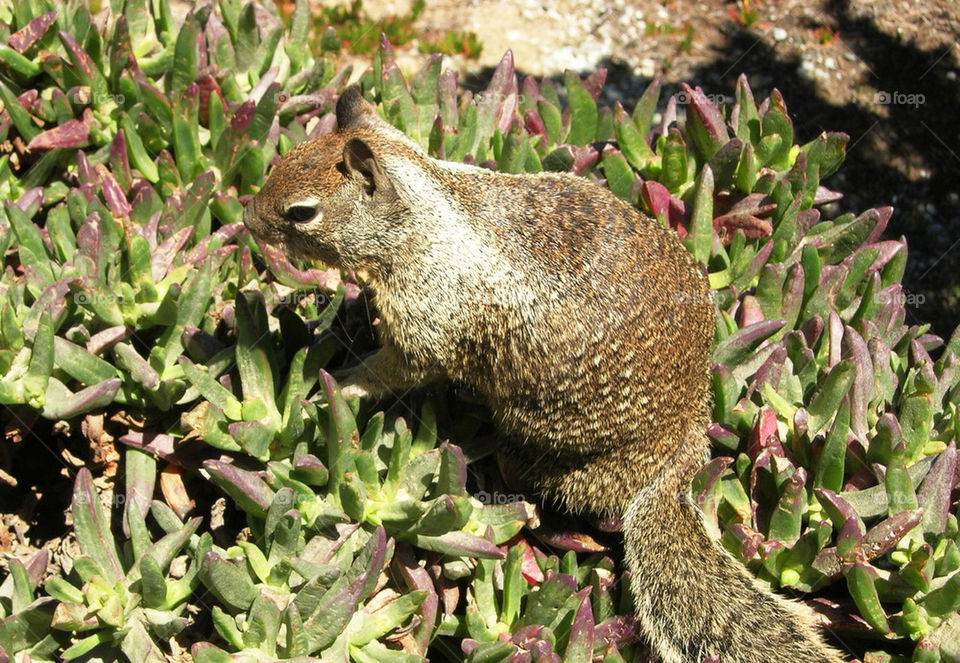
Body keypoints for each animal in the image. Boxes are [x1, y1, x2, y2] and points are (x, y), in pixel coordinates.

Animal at [243, 86, 848, 663]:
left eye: (301, 212)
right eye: (278, 164)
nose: (247, 220)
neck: (430, 214)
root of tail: (683, 446)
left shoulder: (426, 317)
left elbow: (398, 366)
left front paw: (339, 383)